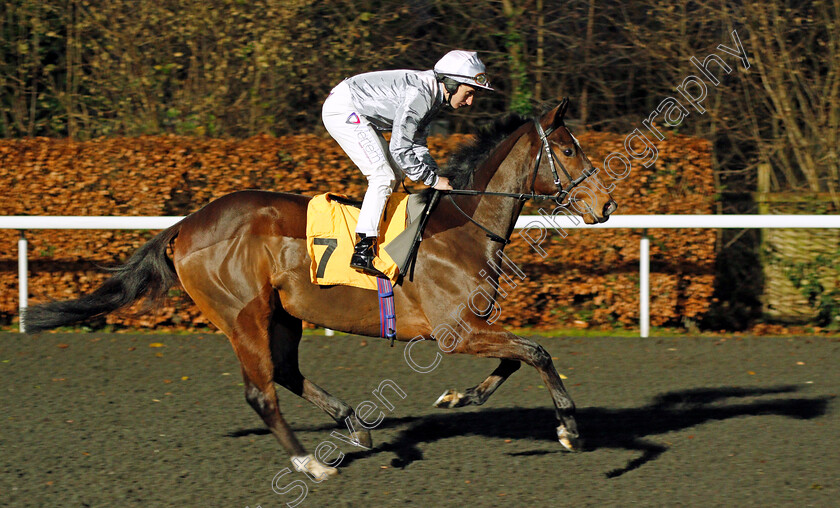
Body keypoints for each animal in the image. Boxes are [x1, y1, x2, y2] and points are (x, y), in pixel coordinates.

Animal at [24, 100, 616, 480]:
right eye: (567, 149)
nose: (606, 204)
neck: (463, 225)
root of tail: (186, 225)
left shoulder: (472, 325)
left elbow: (518, 357)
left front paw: (459, 397)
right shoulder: (455, 331)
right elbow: (536, 352)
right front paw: (570, 429)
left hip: (283, 312)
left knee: (285, 372)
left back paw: (355, 426)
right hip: (241, 315)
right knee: (261, 391)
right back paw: (308, 461)